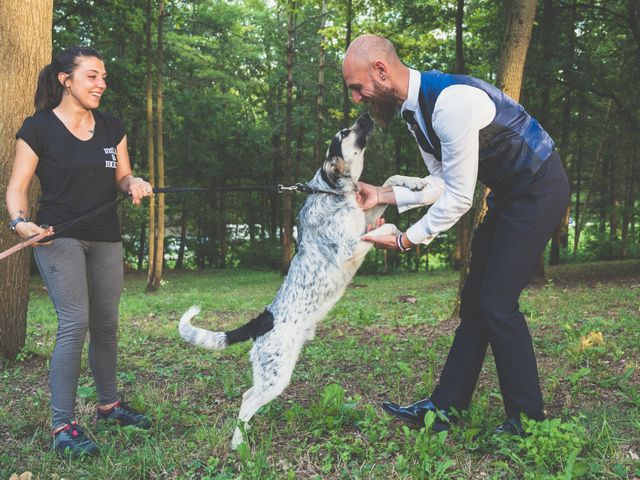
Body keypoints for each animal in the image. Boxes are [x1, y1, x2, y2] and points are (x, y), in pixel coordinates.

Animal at [178, 112, 442, 446]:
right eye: (344, 132)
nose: (366, 115)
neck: (330, 192)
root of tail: (262, 320)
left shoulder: (366, 215)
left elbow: (389, 181)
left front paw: (414, 182)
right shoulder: (352, 245)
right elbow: (388, 226)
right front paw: (402, 235)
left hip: (272, 374)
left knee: (247, 395)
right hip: (277, 375)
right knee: (247, 402)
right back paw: (239, 445)